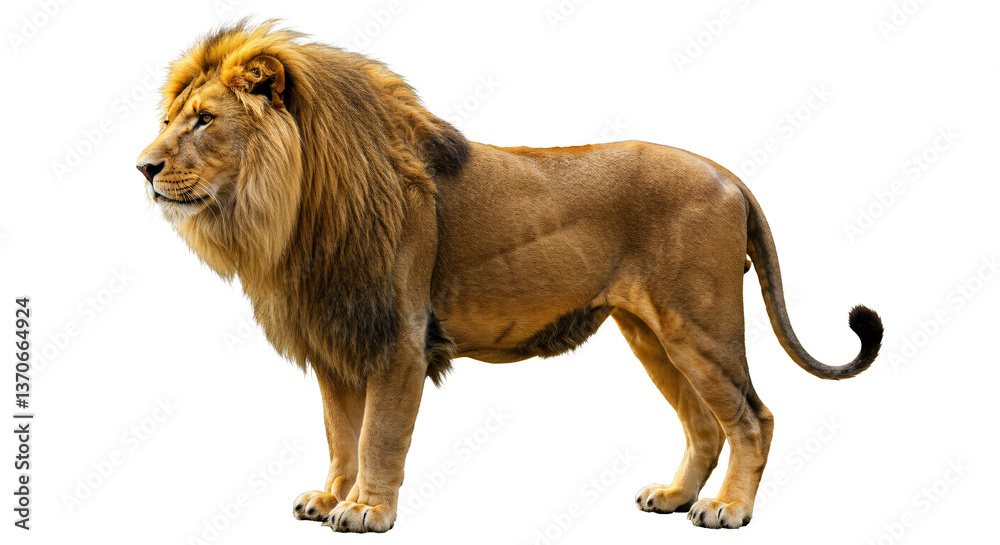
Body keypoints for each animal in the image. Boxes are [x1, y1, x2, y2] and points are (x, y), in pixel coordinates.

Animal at [136, 21, 883, 532]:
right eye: (169, 120)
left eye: (202, 121)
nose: (142, 166)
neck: (292, 212)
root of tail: (729, 175)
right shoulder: (338, 341)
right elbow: (339, 434)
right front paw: (330, 497)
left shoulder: (398, 341)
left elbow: (378, 436)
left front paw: (368, 510)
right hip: (649, 331)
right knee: (704, 421)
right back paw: (673, 498)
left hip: (700, 321)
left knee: (753, 416)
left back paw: (728, 509)